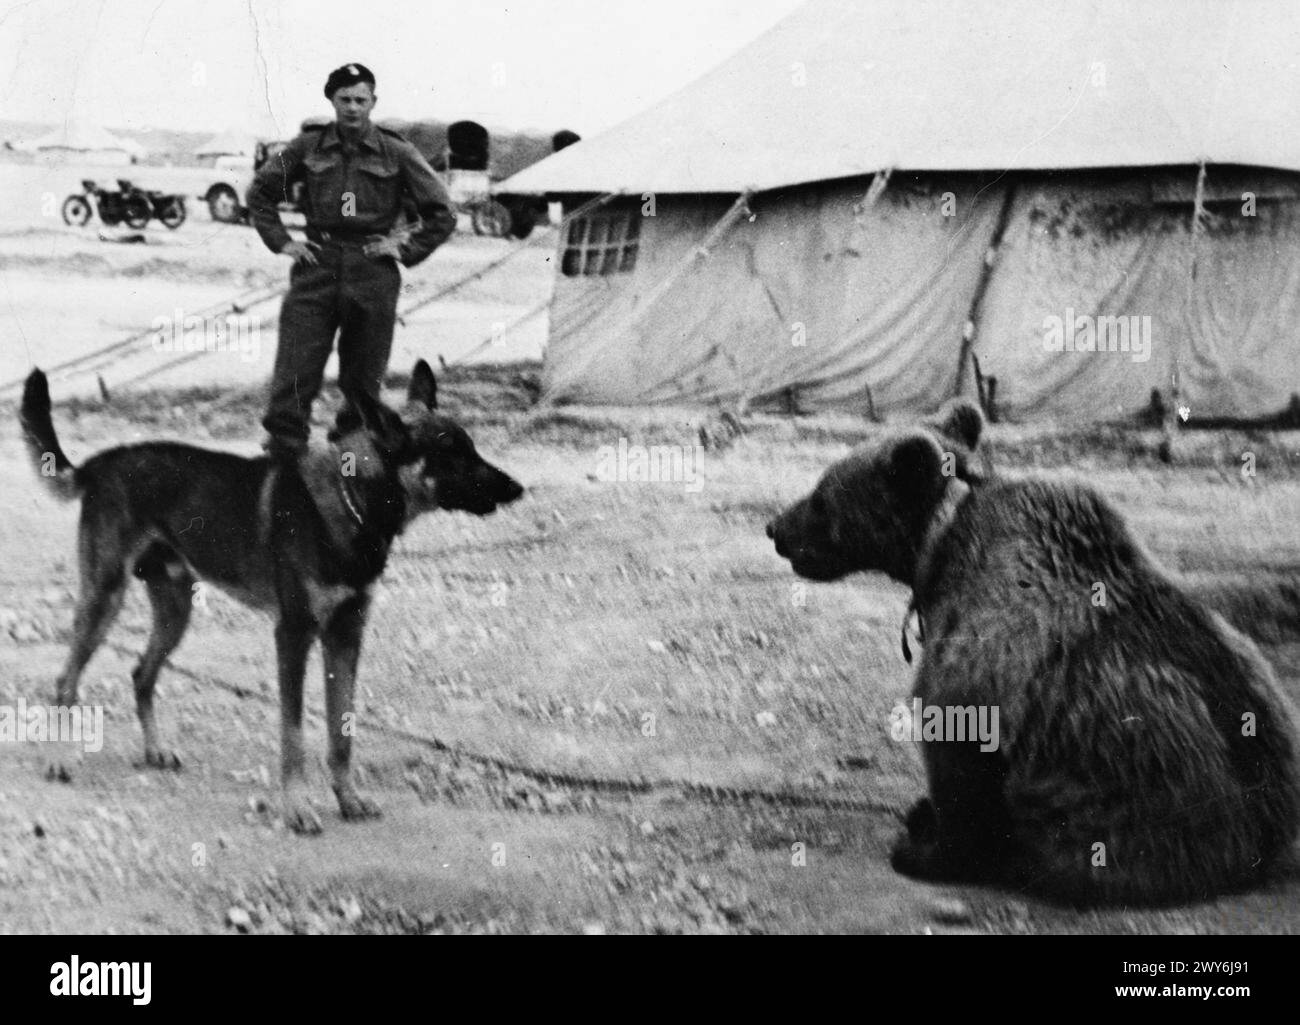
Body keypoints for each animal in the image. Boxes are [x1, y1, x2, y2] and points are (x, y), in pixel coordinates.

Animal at [19, 361, 522, 832]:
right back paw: (59, 759)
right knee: (66, 681)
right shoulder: (294, 637)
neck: (351, 501)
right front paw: (297, 809)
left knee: (141, 674)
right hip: (103, 601)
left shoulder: (346, 637)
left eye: (472, 447)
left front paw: (348, 798)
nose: (518, 489)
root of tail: (102, 462)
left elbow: (342, 733)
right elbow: (294, 734)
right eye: (450, 453)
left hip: (175, 612)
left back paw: (156, 749)